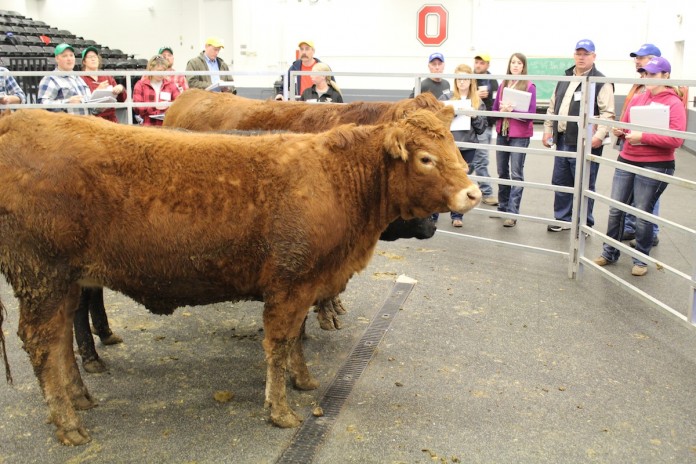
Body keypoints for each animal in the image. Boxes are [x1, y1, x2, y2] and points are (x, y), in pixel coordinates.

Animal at [0, 108, 480, 445]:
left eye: (455, 148)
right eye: (425, 158)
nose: (473, 193)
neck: (337, 180)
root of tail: (16, 122)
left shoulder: (303, 283)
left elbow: (295, 339)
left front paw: (303, 380)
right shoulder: (290, 283)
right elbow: (279, 343)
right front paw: (280, 409)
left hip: (63, 284)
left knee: (61, 340)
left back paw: (79, 397)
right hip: (41, 278)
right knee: (41, 344)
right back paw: (68, 424)